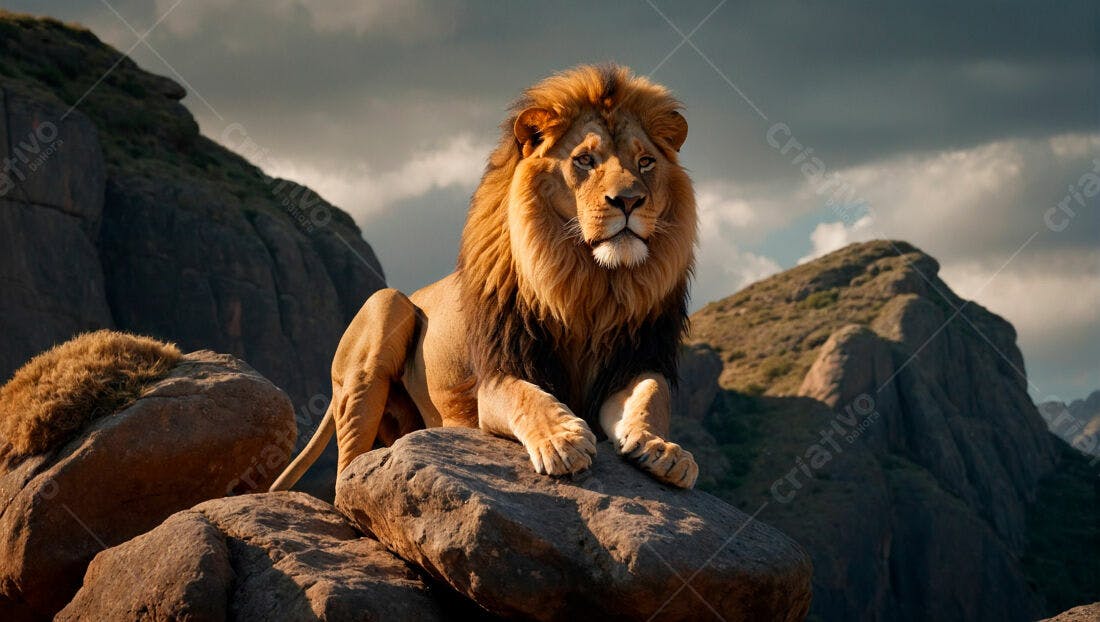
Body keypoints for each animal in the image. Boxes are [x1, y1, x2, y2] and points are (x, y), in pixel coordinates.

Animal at [271, 64, 699, 491]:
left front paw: (663, 449)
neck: (588, 282)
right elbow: (527, 398)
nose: (628, 201)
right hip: (382, 313)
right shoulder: (496, 375)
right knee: (346, 473)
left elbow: (650, 398)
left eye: (645, 162)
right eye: (584, 159)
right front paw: (561, 441)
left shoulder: (635, 361)